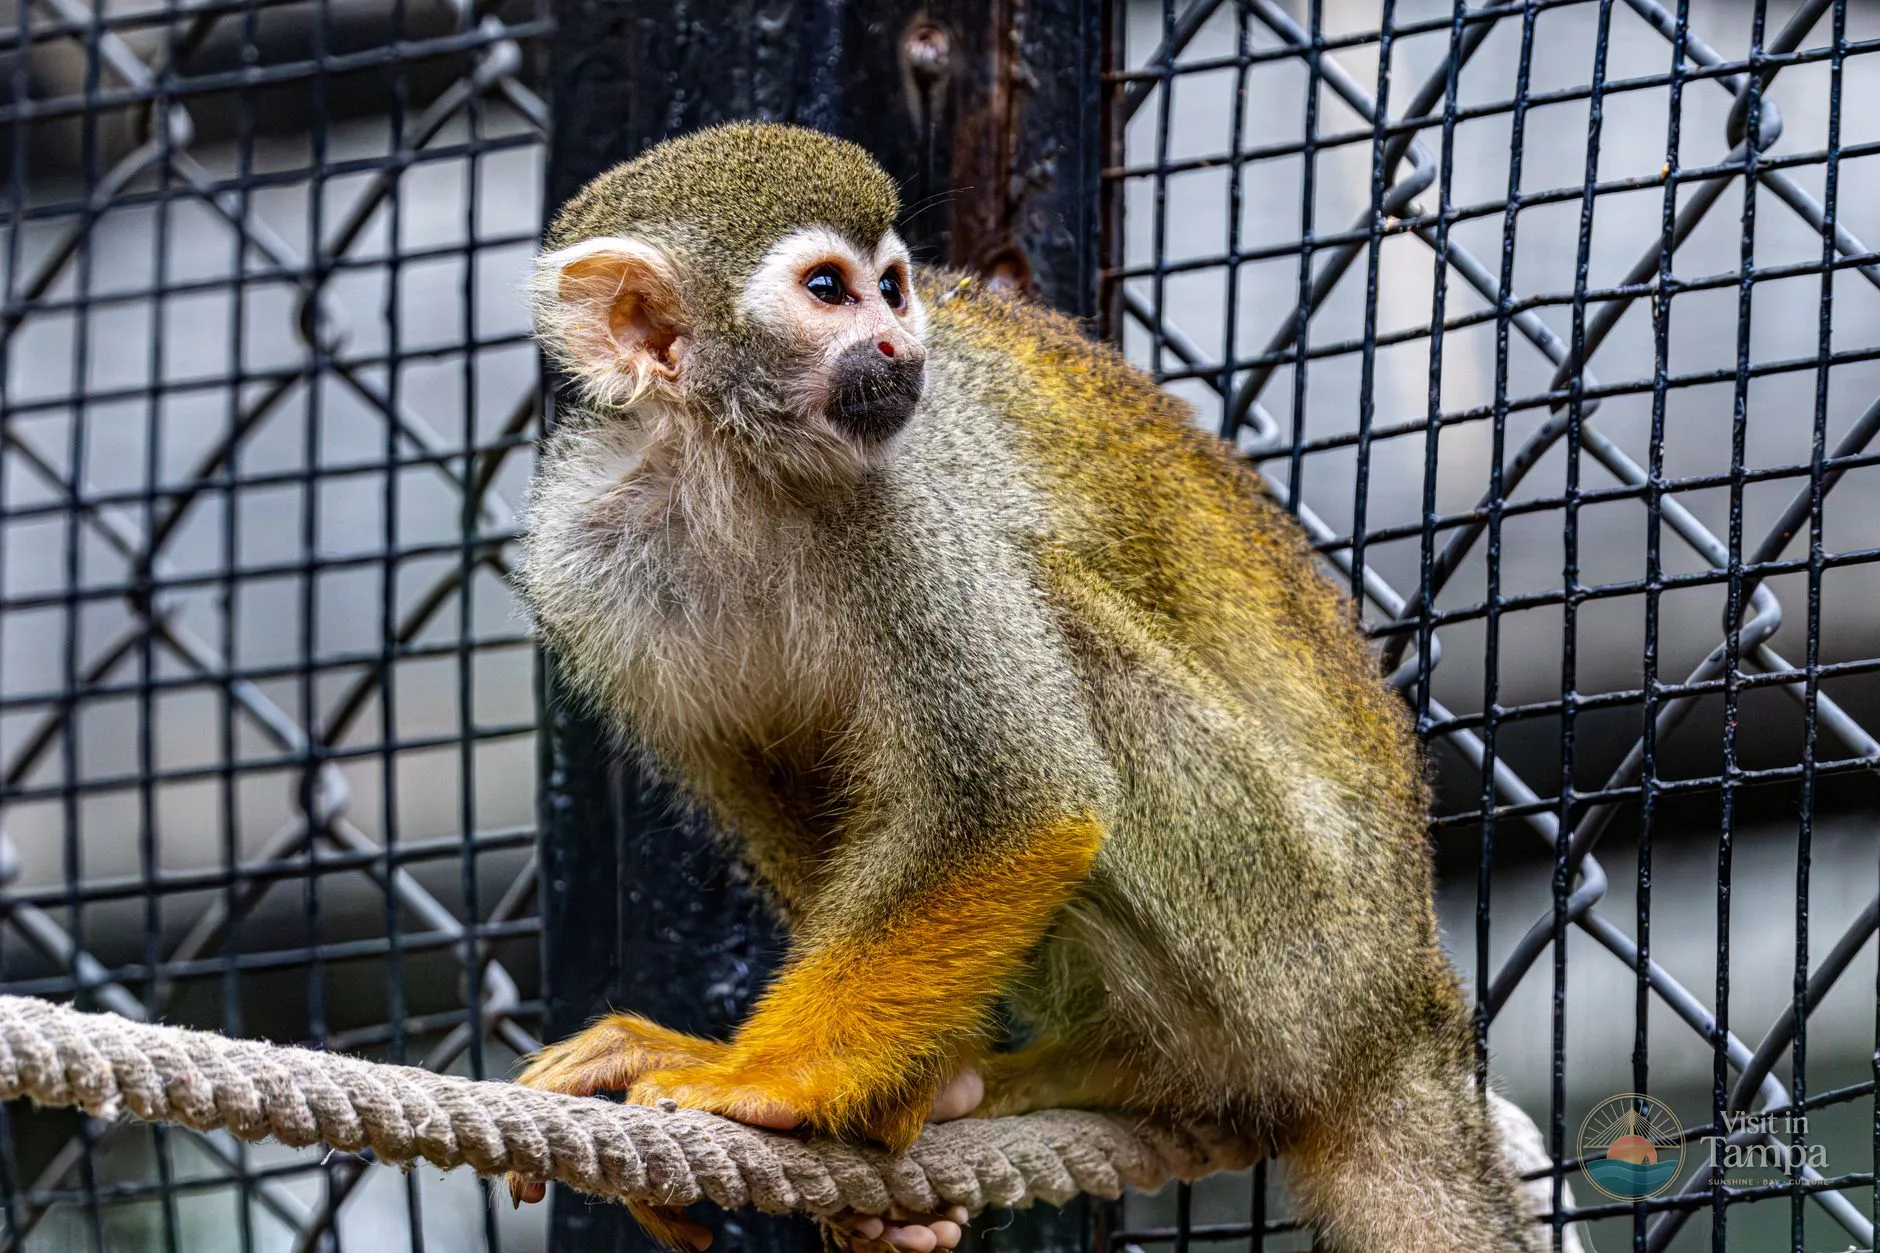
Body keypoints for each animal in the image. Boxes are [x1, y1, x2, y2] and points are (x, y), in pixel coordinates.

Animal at [510, 121, 1542, 1253]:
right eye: (829, 290)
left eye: (893, 288)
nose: (901, 347)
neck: (733, 474)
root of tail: (1410, 1014)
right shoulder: (582, 567)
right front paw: (895, 1101)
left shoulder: (910, 512)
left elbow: (1015, 800)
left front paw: (765, 1077)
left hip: (1302, 942)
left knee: (1055, 620)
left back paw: (1135, 1064)